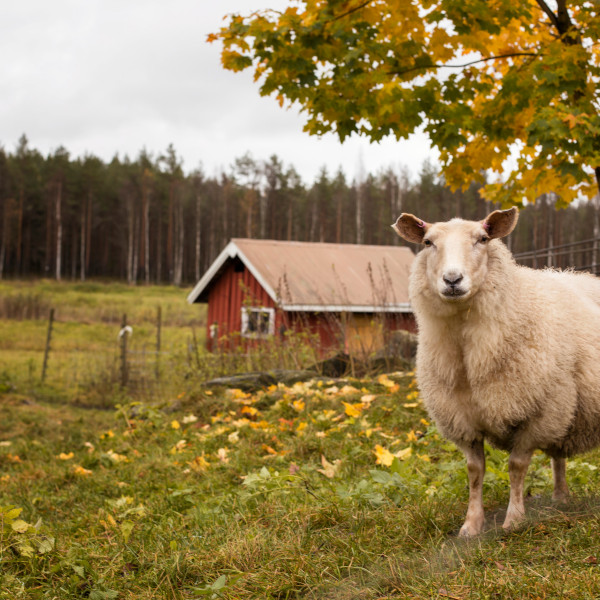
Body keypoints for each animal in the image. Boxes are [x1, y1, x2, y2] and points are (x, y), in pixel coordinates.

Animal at [392, 209, 600, 536]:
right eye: (428, 242)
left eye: (482, 239)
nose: (452, 280)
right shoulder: (462, 421)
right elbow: (475, 471)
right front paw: (471, 525)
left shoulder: (537, 415)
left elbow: (516, 467)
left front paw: (514, 520)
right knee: (558, 458)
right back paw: (560, 498)